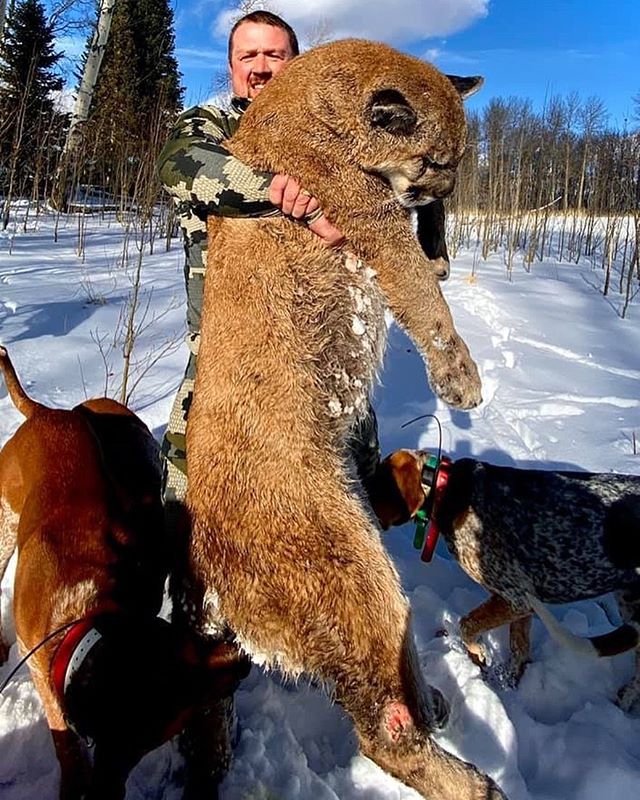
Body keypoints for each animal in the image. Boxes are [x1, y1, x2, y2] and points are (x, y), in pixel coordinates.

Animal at [0, 348, 249, 800]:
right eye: (183, 705)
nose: (242, 658)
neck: (90, 613)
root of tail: (45, 413)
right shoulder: (41, 665)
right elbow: (64, 734)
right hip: (4, 523)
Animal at [376, 454, 640, 708]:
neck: (448, 490)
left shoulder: (515, 599)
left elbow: (467, 625)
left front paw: (480, 654)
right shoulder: (521, 607)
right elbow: (519, 650)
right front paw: (508, 683)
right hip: (629, 603)